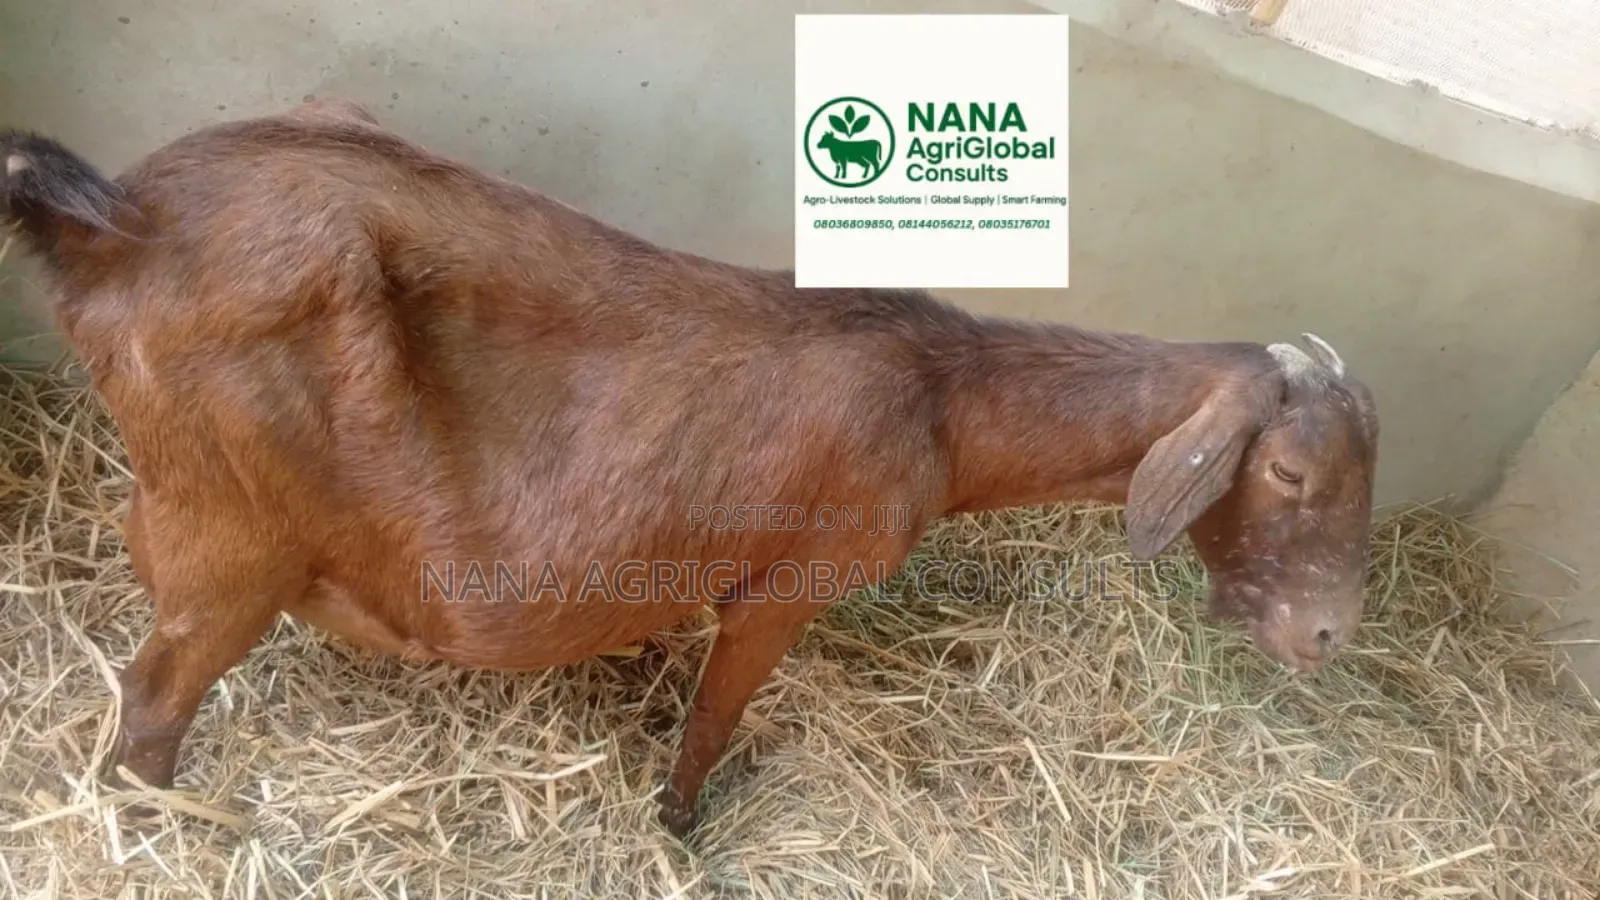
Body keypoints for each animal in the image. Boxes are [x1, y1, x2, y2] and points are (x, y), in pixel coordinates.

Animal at [0, 97, 1379, 836]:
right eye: (1291, 476)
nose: (1326, 638)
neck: (942, 400)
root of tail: (121, 222)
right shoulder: (788, 583)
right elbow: (715, 716)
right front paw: (676, 825)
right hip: (237, 538)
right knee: (154, 697)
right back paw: (163, 822)